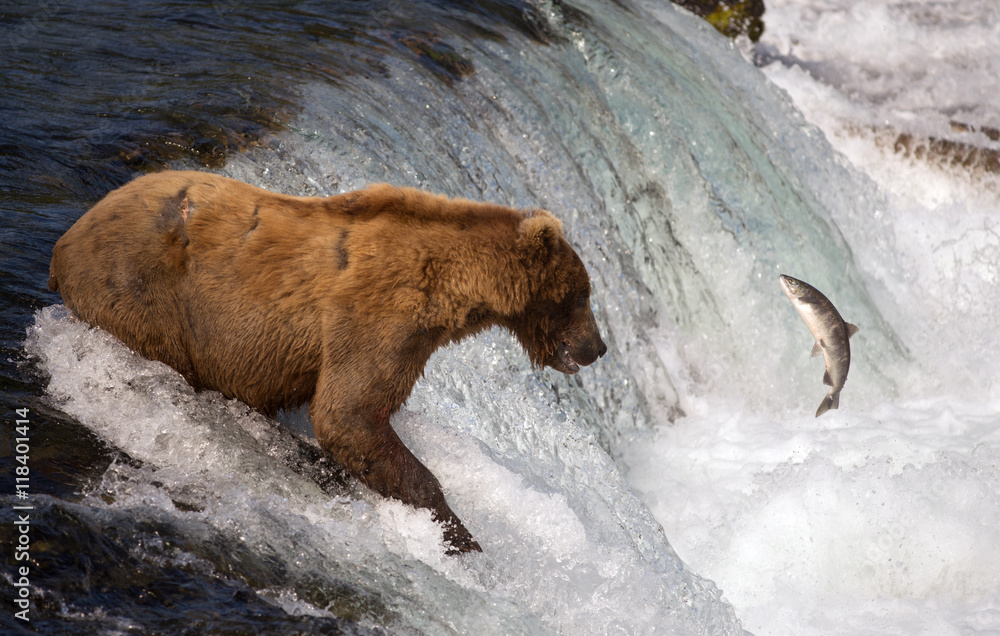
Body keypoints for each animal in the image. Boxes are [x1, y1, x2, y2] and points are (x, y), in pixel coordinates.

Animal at [48, 170, 607, 553]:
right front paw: (458, 534)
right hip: (143, 293)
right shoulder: (379, 314)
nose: (598, 347)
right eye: (583, 294)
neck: (453, 286)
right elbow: (351, 415)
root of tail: (65, 240)